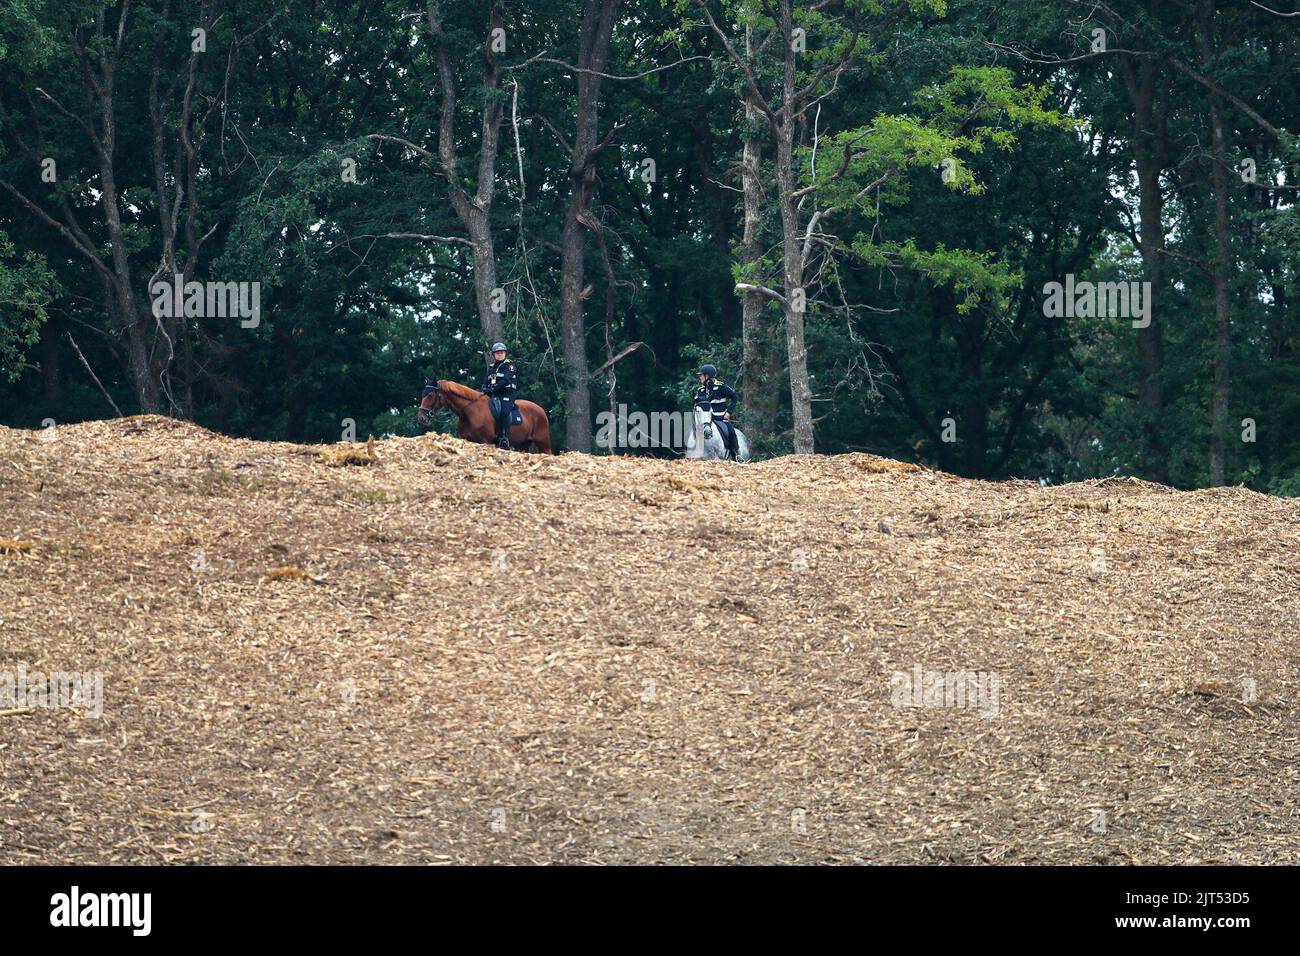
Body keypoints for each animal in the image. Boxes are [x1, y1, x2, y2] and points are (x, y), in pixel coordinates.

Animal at [418, 379, 551, 455]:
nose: (421, 418)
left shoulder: (485, 441)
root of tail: (541, 410)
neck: (470, 411)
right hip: (523, 444)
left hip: (543, 443)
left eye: (430, 395)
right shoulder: (467, 439)